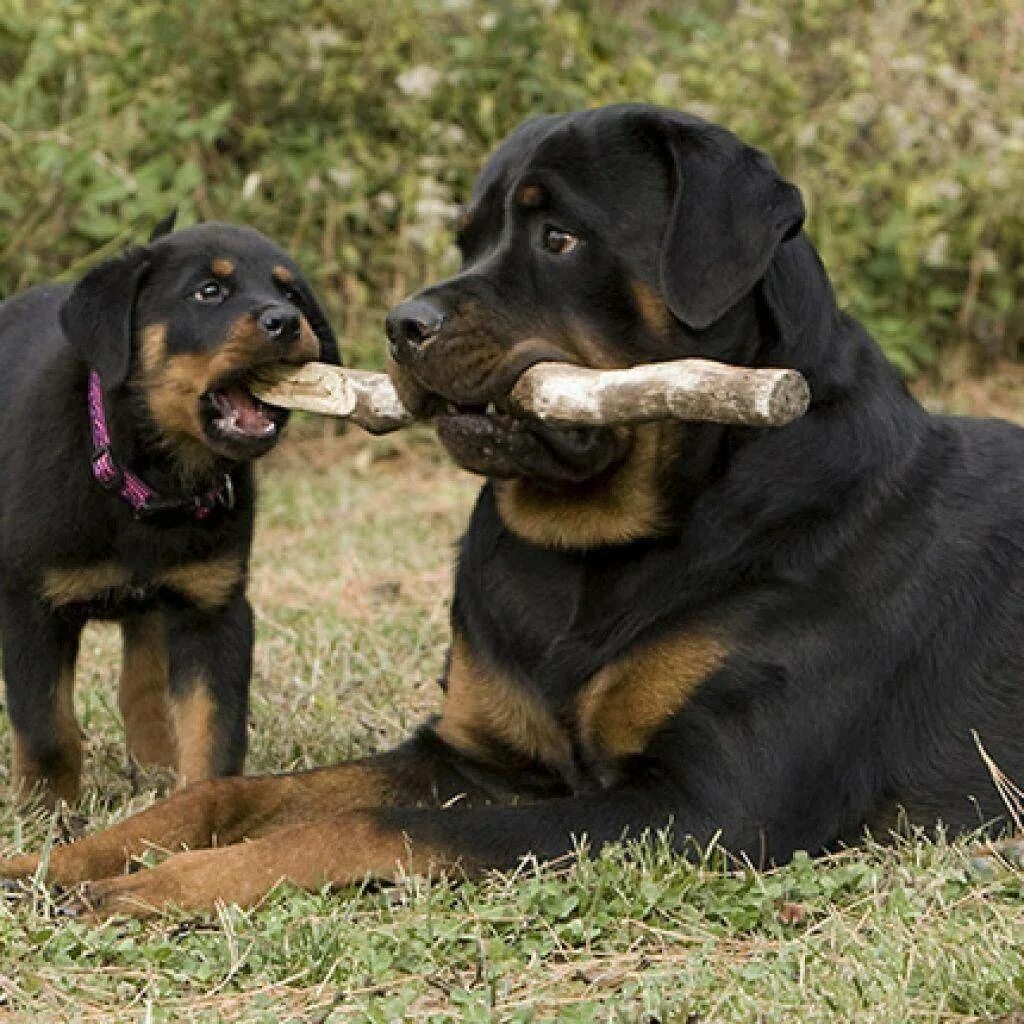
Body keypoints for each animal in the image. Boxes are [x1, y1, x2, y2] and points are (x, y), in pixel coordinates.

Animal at [0, 218, 339, 806]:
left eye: (292, 294)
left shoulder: (212, 607)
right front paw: (48, 810)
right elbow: (46, 730)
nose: (285, 322)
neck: (151, 486)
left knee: (143, 687)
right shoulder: (31, 606)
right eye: (209, 292)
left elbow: (213, 727)